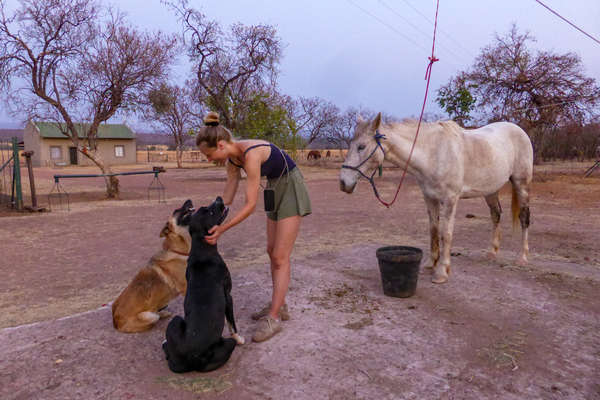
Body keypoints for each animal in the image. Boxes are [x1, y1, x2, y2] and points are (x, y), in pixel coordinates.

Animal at [113, 200, 195, 334]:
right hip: (149, 316)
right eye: (176, 210)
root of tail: (115, 321)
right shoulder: (186, 288)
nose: (189, 200)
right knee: (153, 319)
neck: (177, 251)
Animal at [162, 196, 244, 372]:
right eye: (211, 212)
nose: (219, 198)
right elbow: (232, 323)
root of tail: (190, 358)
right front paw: (239, 337)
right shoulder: (228, 296)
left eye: (207, 207)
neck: (202, 247)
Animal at [340, 112, 532, 282]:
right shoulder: (429, 198)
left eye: (361, 146)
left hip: (521, 184)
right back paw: (492, 253)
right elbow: (433, 230)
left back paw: (522, 258)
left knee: (524, 217)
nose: (343, 183)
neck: (434, 154)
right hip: (490, 190)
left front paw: (441, 272)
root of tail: (519, 130)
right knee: (496, 215)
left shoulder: (450, 199)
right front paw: (429, 264)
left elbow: (446, 233)